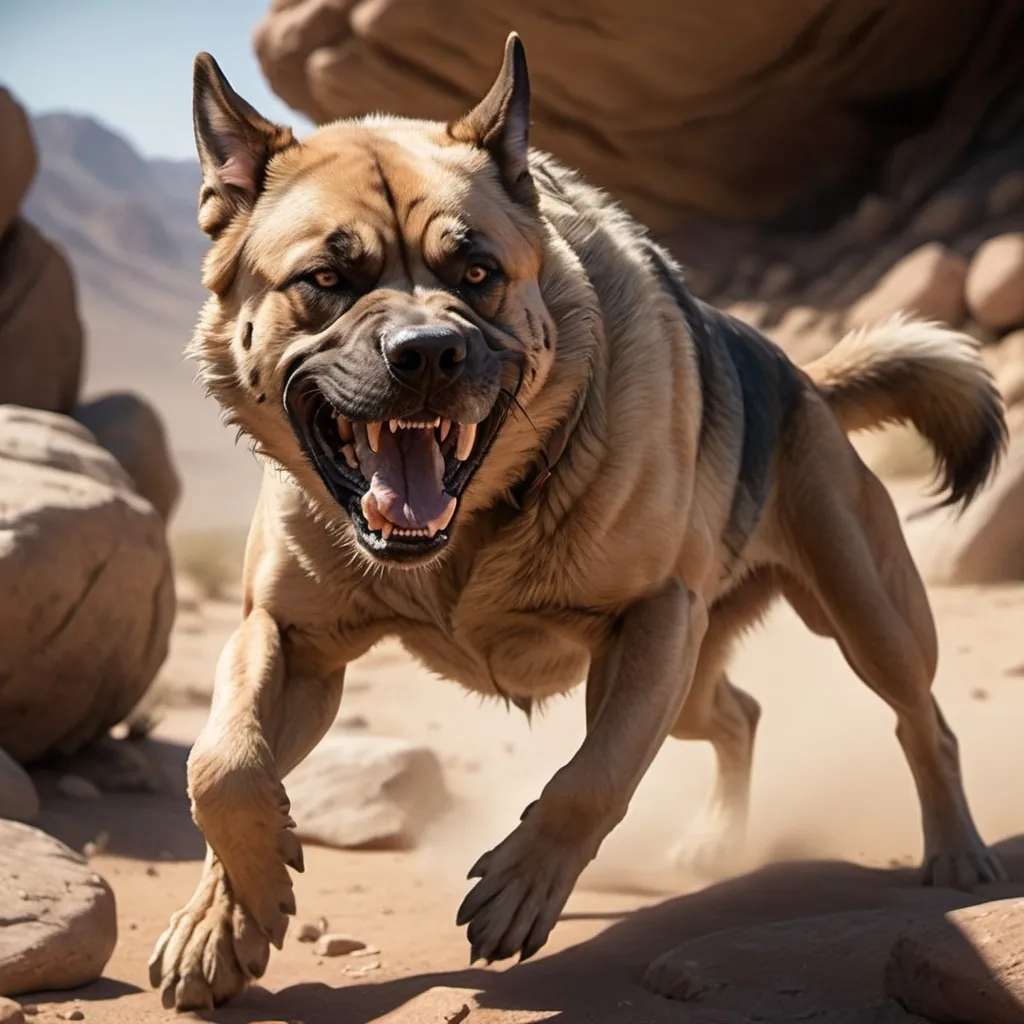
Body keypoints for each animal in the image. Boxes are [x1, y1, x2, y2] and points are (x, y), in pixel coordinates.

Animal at [149, 29, 1007, 1007]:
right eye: (326, 279)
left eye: (478, 273)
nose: (427, 354)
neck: (470, 531)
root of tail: (805, 381)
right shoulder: (287, 637)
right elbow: (223, 766)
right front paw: (227, 918)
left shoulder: (653, 622)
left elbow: (591, 780)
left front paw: (523, 886)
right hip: (696, 678)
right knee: (740, 713)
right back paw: (716, 839)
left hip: (864, 617)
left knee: (924, 723)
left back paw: (958, 851)